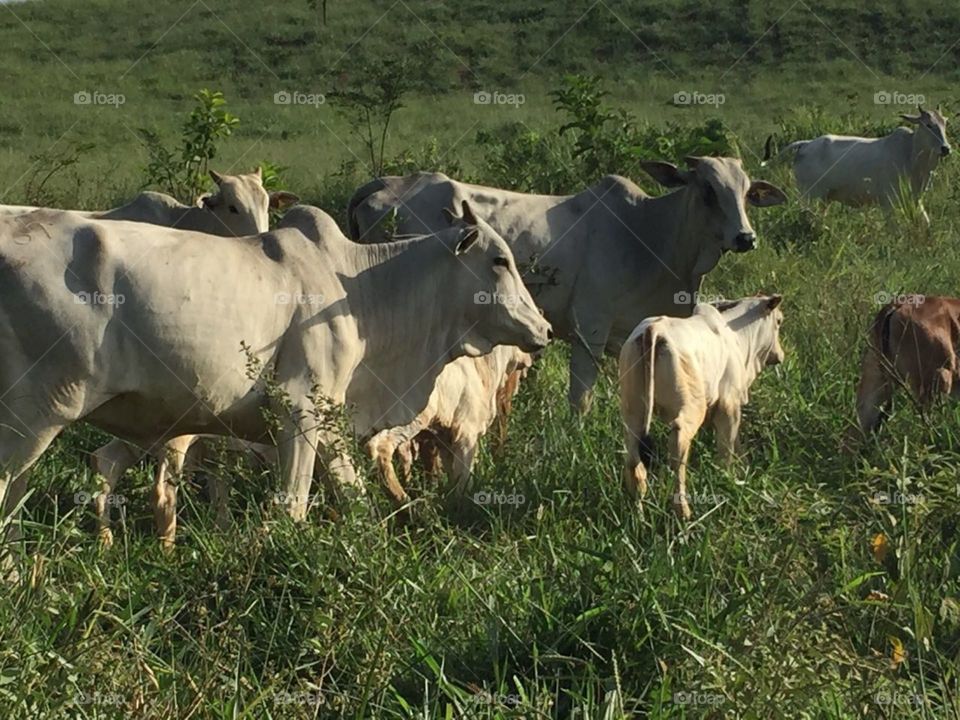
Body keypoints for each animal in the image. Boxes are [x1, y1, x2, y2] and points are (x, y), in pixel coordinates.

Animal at [0, 203, 551, 565]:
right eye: (499, 260)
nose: (544, 329)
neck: (363, 292)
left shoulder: (330, 420)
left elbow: (355, 497)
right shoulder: (299, 411)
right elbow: (293, 504)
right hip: (33, 414)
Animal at [346, 157, 787, 413]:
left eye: (747, 192)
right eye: (708, 189)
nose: (745, 237)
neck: (651, 233)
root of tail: (388, 183)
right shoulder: (589, 328)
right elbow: (581, 399)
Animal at [618, 295, 785, 519]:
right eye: (779, 321)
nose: (779, 355)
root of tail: (654, 329)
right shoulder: (729, 404)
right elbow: (727, 446)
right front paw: (729, 477)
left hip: (633, 412)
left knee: (634, 461)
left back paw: (639, 514)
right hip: (691, 407)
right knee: (678, 446)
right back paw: (683, 511)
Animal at [762, 106, 950, 223]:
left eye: (944, 124)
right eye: (928, 125)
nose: (946, 148)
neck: (911, 154)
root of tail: (806, 144)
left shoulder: (915, 200)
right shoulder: (888, 202)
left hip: (823, 199)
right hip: (810, 195)